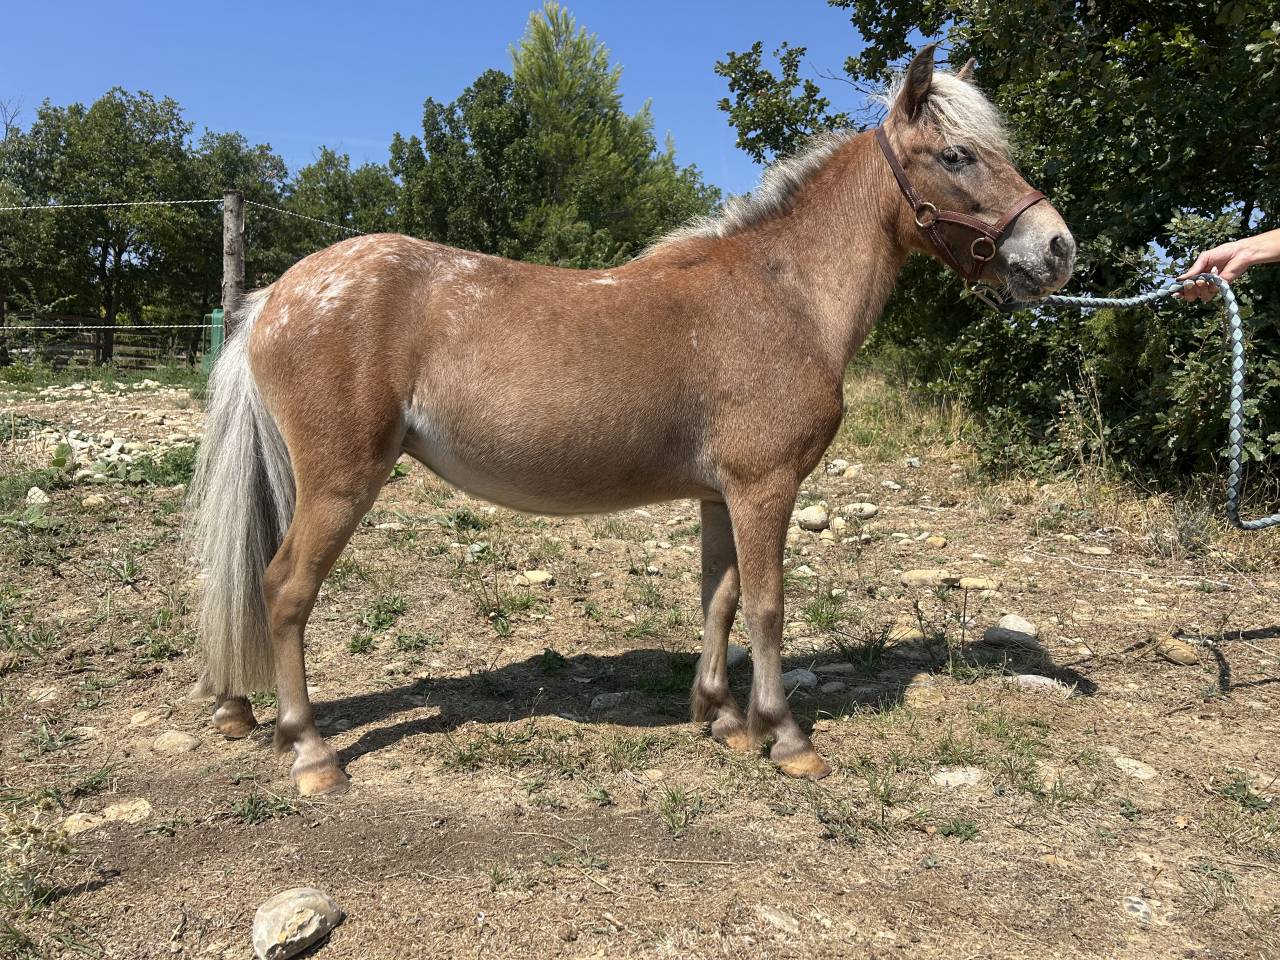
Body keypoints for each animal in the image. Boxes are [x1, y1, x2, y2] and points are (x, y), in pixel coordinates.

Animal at [187, 44, 1075, 796]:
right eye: (958, 156)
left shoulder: (723, 495)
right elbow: (768, 606)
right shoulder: (767, 488)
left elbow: (720, 599)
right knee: (284, 590)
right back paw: (311, 753)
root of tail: (279, 294)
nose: (1058, 249)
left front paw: (722, 718)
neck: (783, 295)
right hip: (341, 483)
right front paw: (787, 738)